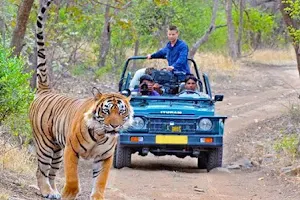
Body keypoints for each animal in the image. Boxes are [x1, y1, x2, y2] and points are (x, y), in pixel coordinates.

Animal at [29, 0, 133, 199]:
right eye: (107, 111)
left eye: (121, 112)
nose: (114, 126)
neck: (100, 136)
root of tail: (46, 90)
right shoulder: (71, 150)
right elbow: (72, 179)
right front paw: (69, 194)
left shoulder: (104, 158)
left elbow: (100, 182)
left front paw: (97, 196)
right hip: (45, 144)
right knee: (41, 170)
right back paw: (47, 191)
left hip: (57, 150)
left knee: (51, 173)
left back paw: (53, 191)